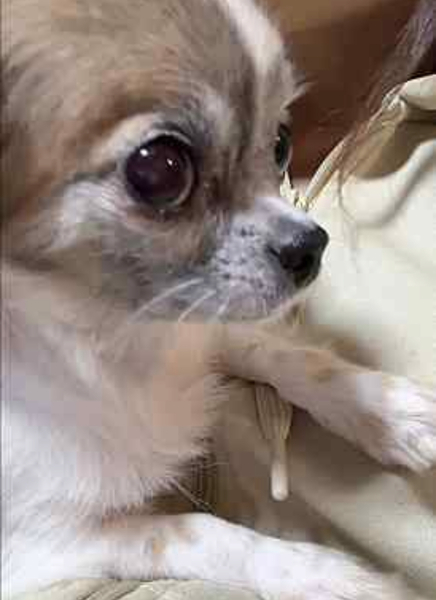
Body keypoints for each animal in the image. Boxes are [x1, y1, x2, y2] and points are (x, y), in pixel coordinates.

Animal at [2, 0, 436, 598]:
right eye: (159, 169)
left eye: (281, 142)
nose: (311, 246)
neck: (118, 337)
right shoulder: (47, 546)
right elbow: (197, 532)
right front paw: (323, 575)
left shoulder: (200, 320)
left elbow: (276, 352)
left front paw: (385, 409)